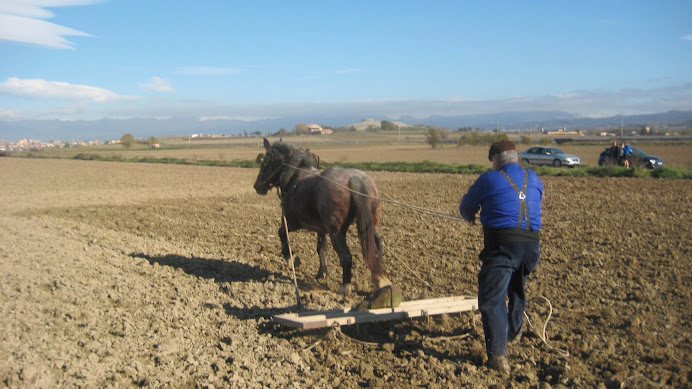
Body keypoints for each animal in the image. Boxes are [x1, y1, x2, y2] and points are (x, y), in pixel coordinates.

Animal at [255, 138, 394, 292]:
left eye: (265, 161)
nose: (257, 186)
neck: (294, 175)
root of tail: (355, 179)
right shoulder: (321, 229)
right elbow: (321, 248)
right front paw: (322, 273)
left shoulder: (291, 221)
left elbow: (282, 233)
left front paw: (292, 259)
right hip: (371, 223)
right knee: (379, 244)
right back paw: (379, 278)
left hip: (336, 231)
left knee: (346, 256)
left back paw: (345, 287)